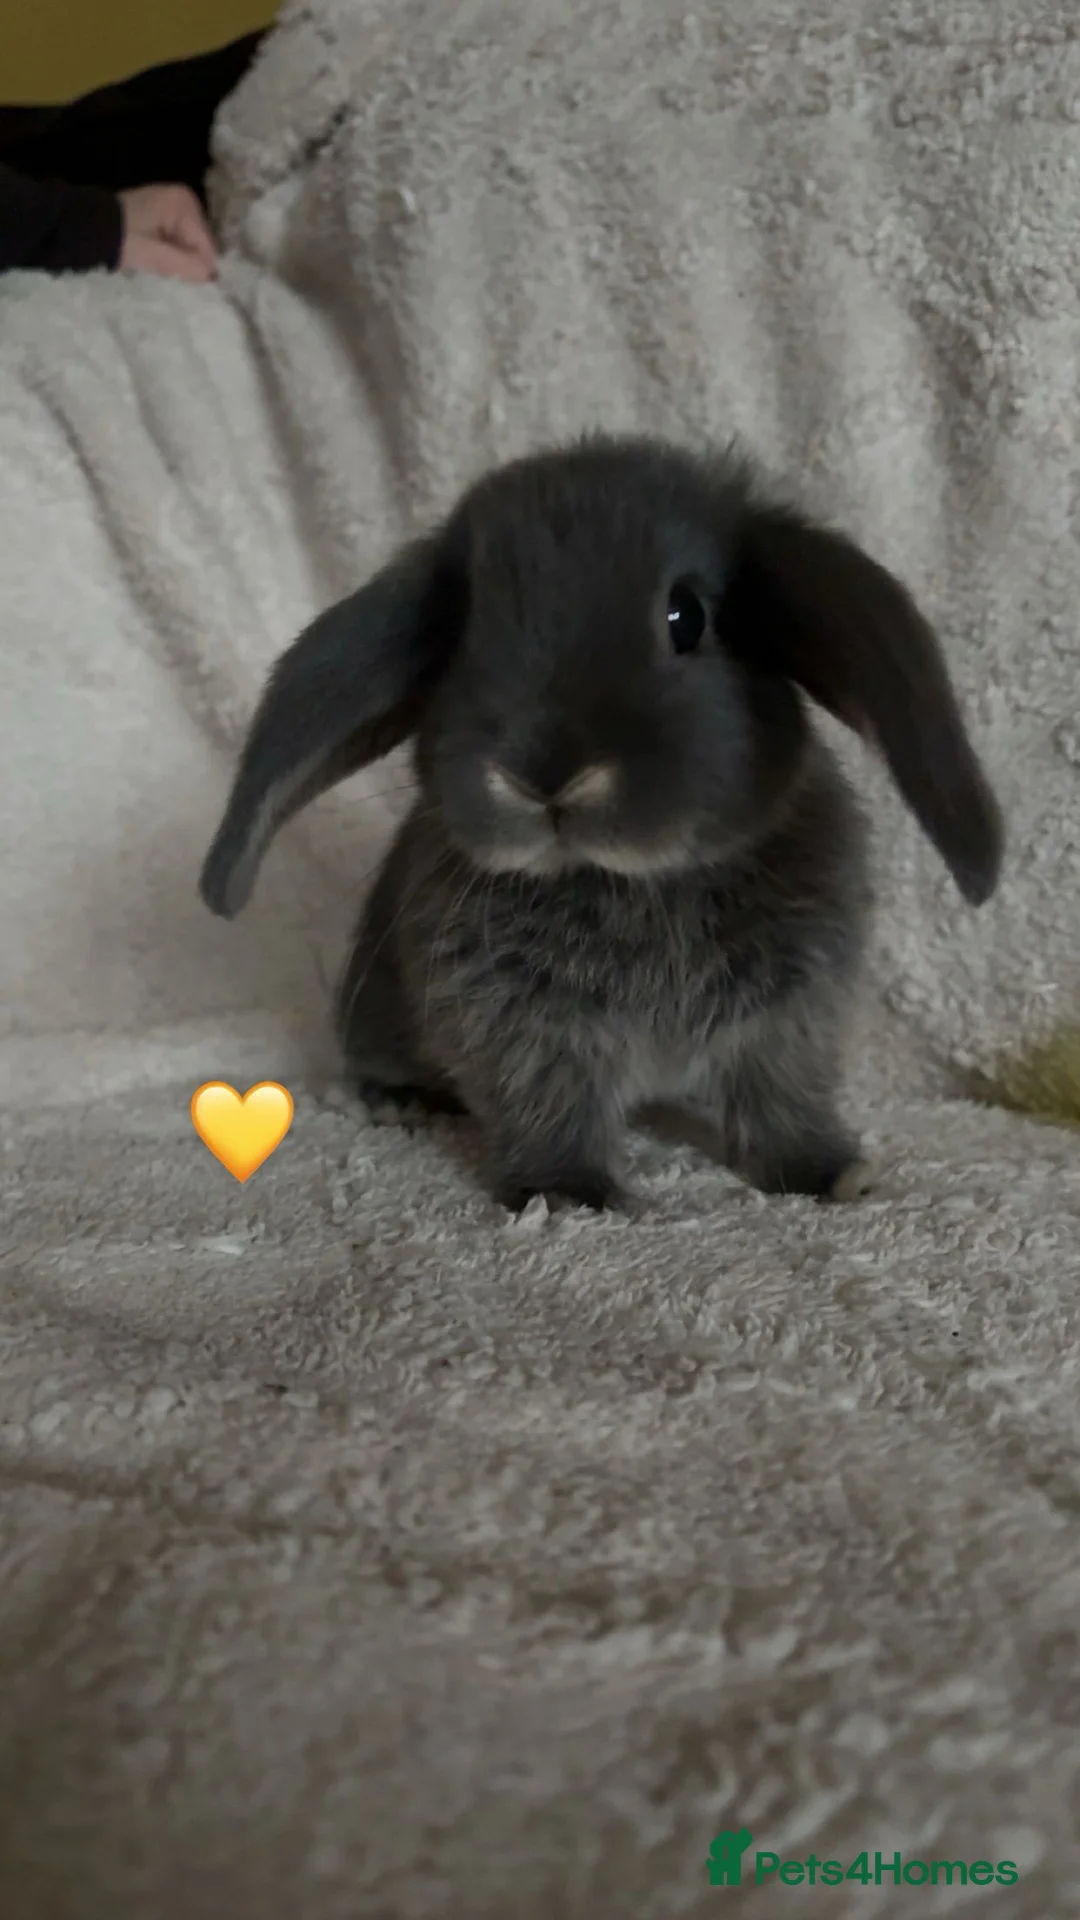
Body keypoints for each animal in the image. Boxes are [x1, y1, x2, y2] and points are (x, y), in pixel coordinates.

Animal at [199, 434, 1003, 1213]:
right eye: (459, 636)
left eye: (688, 616)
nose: (543, 774)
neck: (635, 880)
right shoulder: (518, 1024)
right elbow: (547, 1105)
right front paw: (567, 1194)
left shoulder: (789, 1014)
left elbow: (782, 1099)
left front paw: (833, 1174)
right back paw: (400, 1100)